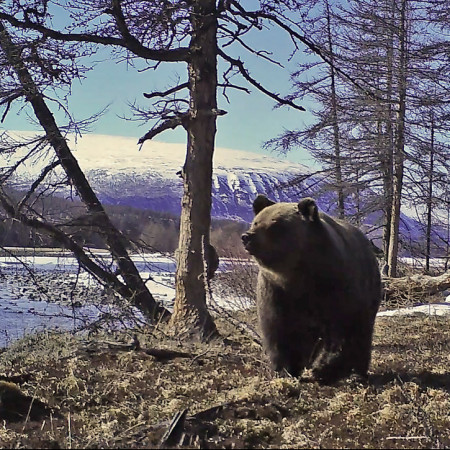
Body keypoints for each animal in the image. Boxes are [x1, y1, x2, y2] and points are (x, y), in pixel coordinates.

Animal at [241, 194, 382, 384]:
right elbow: (278, 330)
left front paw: (324, 368)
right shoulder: (276, 292)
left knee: (362, 335)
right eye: (256, 222)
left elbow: (342, 332)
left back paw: (357, 373)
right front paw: (285, 369)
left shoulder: (337, 287)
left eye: (275, 223)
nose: (247, 236)